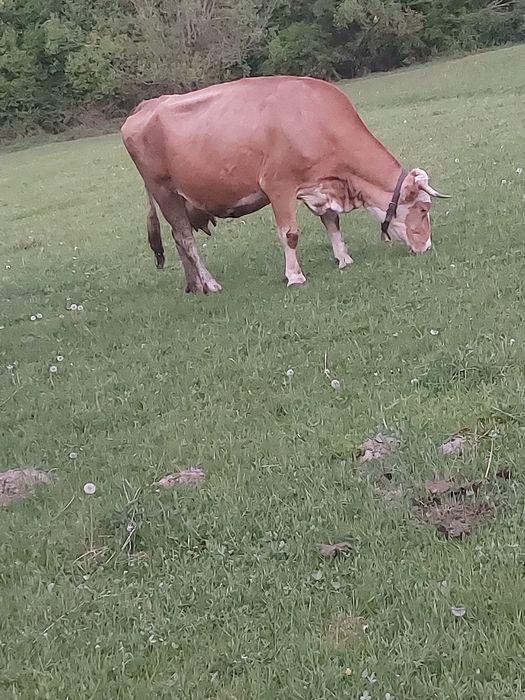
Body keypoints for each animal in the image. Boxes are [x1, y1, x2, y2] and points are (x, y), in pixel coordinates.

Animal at [121, 76, 449, 293]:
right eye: (422, 209)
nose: (427, 246)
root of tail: (146, 105)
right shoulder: (278, 186)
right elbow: (289, 234)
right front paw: (295, 276)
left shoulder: (320, 184)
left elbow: (332, 221)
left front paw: (343, 258)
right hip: (164, 191)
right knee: (186, 239)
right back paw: (210, 283)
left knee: (178, 238)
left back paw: (194, 285)